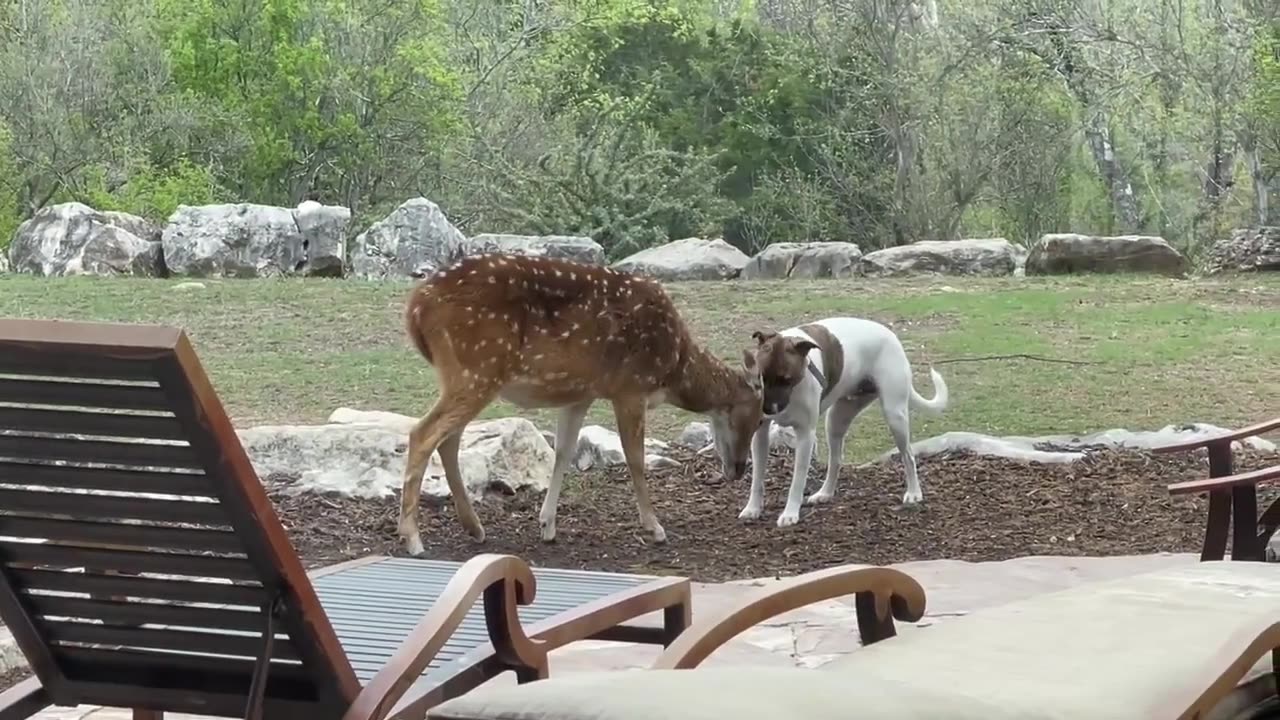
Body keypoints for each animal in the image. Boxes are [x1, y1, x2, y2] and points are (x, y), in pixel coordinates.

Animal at [399, 249, 757, 550]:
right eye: (753, 417)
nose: (738, 469)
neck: (673, 367)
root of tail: (416, 307)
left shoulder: (580, 394)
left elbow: (563, 452)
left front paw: (547, 525)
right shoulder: (629, 387)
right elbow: (635, 458)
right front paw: (655, 528)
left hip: (468, 375)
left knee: (448, 439)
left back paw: (474, 527)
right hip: (477, 368)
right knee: (423, 433)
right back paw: (413, 538)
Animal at [747, 316, 947, 525]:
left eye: (786, 379)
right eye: (761, 376)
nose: (767, 409)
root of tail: (891, 335)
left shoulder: (805, 436)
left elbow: (797, 480)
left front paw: (790, 513)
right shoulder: (760, 435)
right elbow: (757, 478)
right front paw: (752, 509)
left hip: (895, 416)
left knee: (908, 456)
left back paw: (914, 492)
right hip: (836, 419)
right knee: (836, 460)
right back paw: (825, 493)